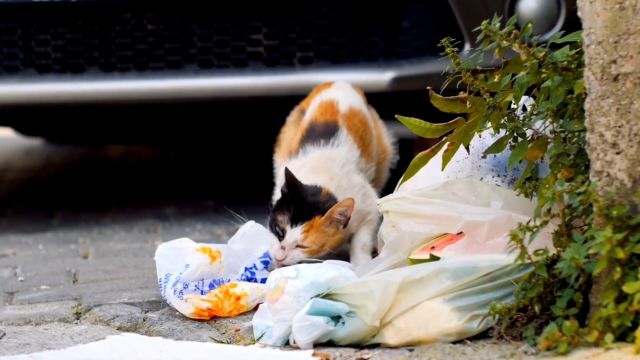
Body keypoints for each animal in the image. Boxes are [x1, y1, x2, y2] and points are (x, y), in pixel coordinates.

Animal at [266, 81, 396, 268]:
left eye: (302, 246)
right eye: (278, 230)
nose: (278, 256)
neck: (322, 180)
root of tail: (339, 82)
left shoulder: (369, 205)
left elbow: (362, 241)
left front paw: (361, 266)